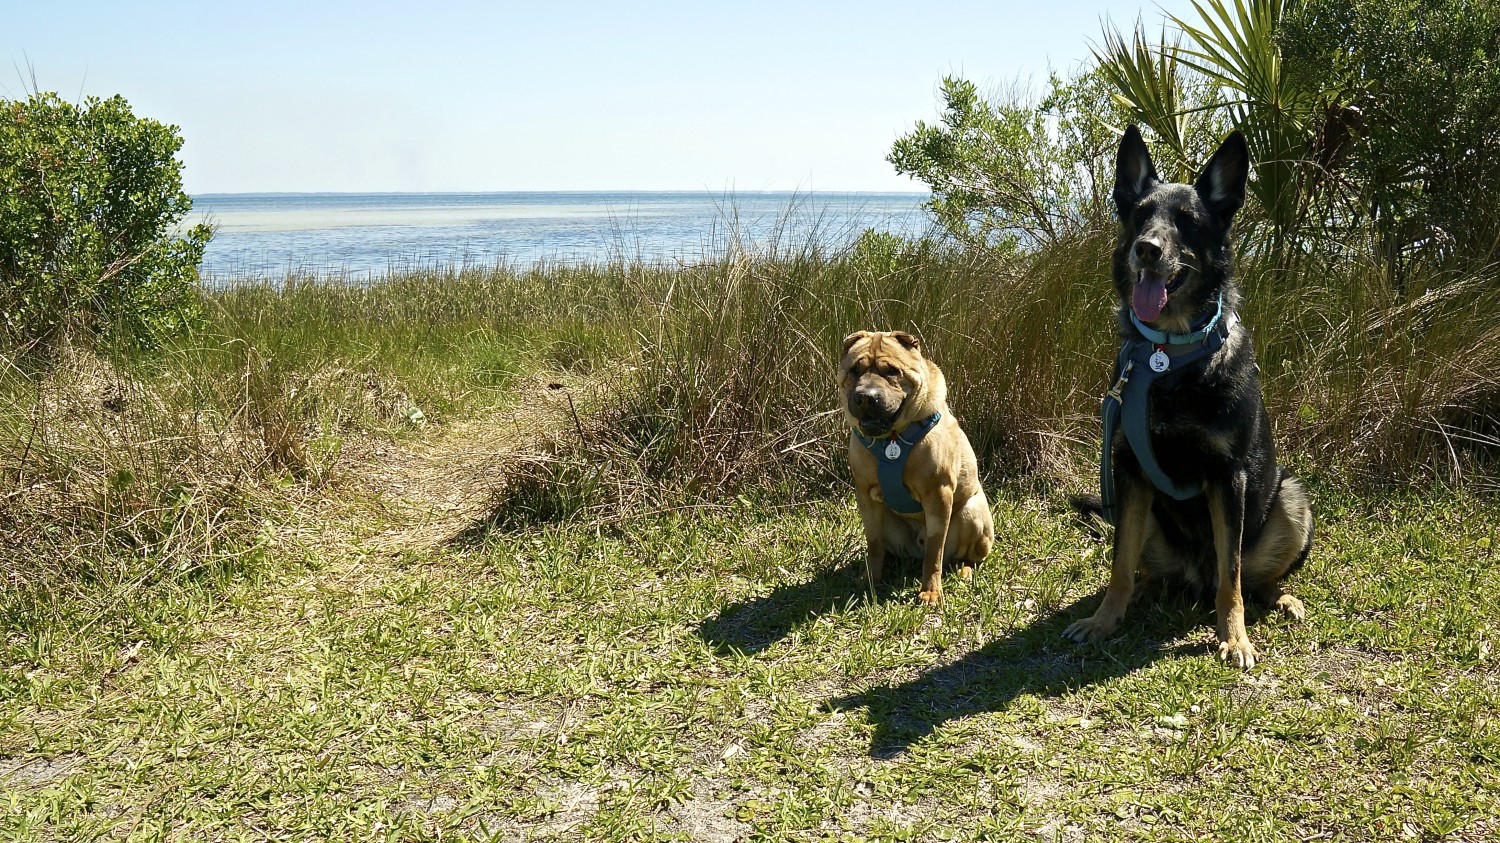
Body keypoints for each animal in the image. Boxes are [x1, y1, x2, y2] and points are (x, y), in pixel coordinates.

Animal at [840, 330, 990, 603]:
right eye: (855, 370)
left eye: (892, 371)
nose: (866, 397)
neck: (891, 438)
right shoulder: (865, 495)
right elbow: (874, 545)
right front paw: (871, 579)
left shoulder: (938, 495)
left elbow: (934, 553)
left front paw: (930, 591)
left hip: (972, 512)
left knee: (965, 557)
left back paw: (963, 570)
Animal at [1068, 124, 1314, 666]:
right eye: (1140, 215)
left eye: (1188, 221)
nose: (1146, 248)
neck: (1170, 356)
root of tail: (1192, 577)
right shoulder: (1129, 470)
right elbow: (1118, 564)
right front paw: (1104, 619)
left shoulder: (1228, 478)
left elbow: (1232, 577)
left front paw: (1234, 636)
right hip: (1140, 514)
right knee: (1144, 568)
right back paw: (1140, 591)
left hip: (1291, 498)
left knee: (1252, 578)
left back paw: (1281, 598)